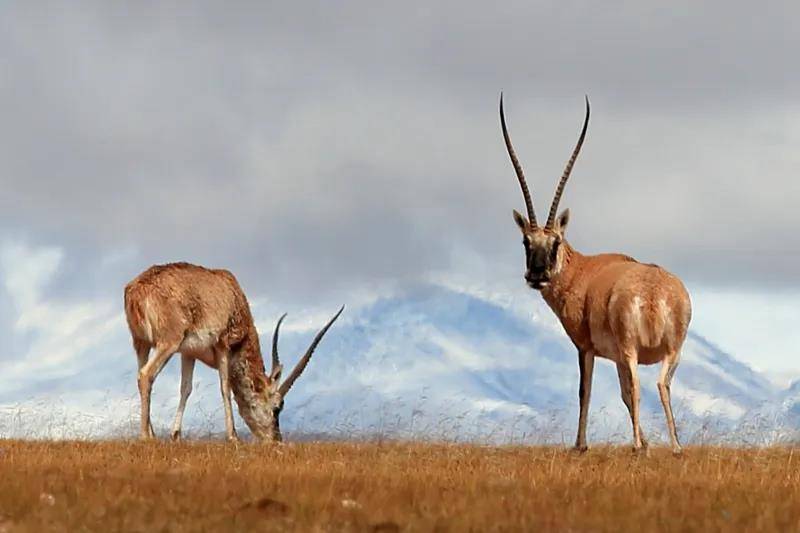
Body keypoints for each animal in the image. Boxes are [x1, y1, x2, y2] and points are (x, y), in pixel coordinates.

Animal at [123, 262, 342, 440]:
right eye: (277, 407)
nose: (275, 439)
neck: (232, 294)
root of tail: (137, 289)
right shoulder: (223, 345)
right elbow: (225, 387)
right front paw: (233, 437)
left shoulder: (189, 353)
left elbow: (186, 388)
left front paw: (176, 435)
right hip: (168, 344)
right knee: (146, 375)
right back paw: (146, 437)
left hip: (141, 344)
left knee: (140, 374)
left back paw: (151, 432)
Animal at [500, 95, 692, 454]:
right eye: (526, 241)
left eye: (555, 242)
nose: (537, 275)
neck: (581, 270)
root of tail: (654, 292)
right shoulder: (615, 357)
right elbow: (623, 395)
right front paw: (648, 443)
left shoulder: (586, 348)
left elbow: (586, 391)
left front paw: (581, 445)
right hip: (671, 350)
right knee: (660, 384)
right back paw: (674, 447)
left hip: (631, 349)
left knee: (642, 386)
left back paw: (637, 446)